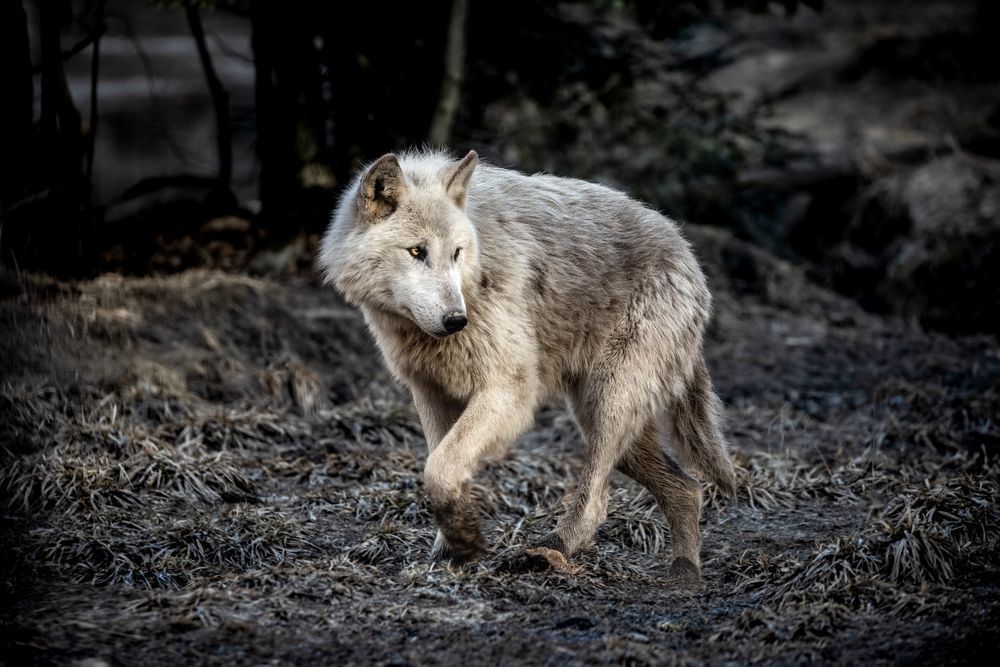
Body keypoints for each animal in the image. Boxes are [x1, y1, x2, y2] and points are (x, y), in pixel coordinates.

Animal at [317, 149, 737, 581]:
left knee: (598, 499)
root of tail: (687, 252)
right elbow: (441, 467)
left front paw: (466, 543)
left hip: (609, 405)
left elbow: (439, 468)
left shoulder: (510, 390)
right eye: (417, 251)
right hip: (607, 420)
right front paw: (451, 547)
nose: (456, 321)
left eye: (456, 253)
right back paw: (684, 576)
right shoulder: (430, 393)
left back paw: (552, 549)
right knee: (686, 487)